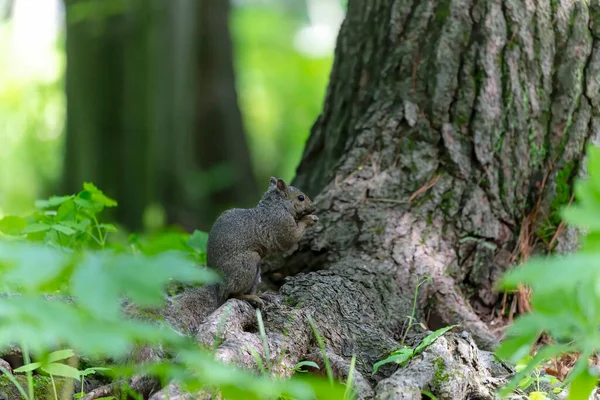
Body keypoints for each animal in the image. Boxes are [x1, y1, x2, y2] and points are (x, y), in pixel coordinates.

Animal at [207, 175, 318, 306]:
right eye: (301, 197)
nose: (313, 208)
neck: (278, 206)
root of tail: (218, 286)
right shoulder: (281, 224)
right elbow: (290, 238)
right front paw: (309, 219)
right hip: (247, 265)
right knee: (232, 294)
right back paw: (251, 297)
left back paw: (260, 295)